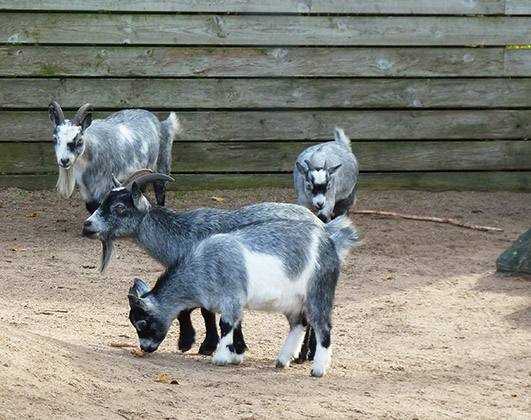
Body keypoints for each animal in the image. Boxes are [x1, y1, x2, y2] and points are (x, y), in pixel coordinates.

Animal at [48, 101, 181, 213]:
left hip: (162, 165)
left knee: (160, 193)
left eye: (80, 140)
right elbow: (90, 207)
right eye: (55, 139)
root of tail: (163, 124)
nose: (64, 160)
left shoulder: (103, 185)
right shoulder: (84, 188)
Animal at [83, 172, 324, 356]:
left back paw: (303, 354)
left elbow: (202, 311)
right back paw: (310, 352)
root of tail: (320, 225)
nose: (88, 225)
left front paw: (198, 344)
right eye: (103, 203)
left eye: (119, 207)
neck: (183, 234)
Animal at [127, 215, 360, 376]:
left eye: (142, 323)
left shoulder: (232, 296)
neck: (202, 266)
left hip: (318, 291)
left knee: (323, 326)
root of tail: (331, 242)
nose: (144, 347)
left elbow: (226, 325)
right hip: (293, 301)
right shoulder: (232, 302)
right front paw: (236, 354)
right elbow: (236, 324)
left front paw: (221, 357)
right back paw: (282, 360)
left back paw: (318, 368)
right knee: (298, 324)